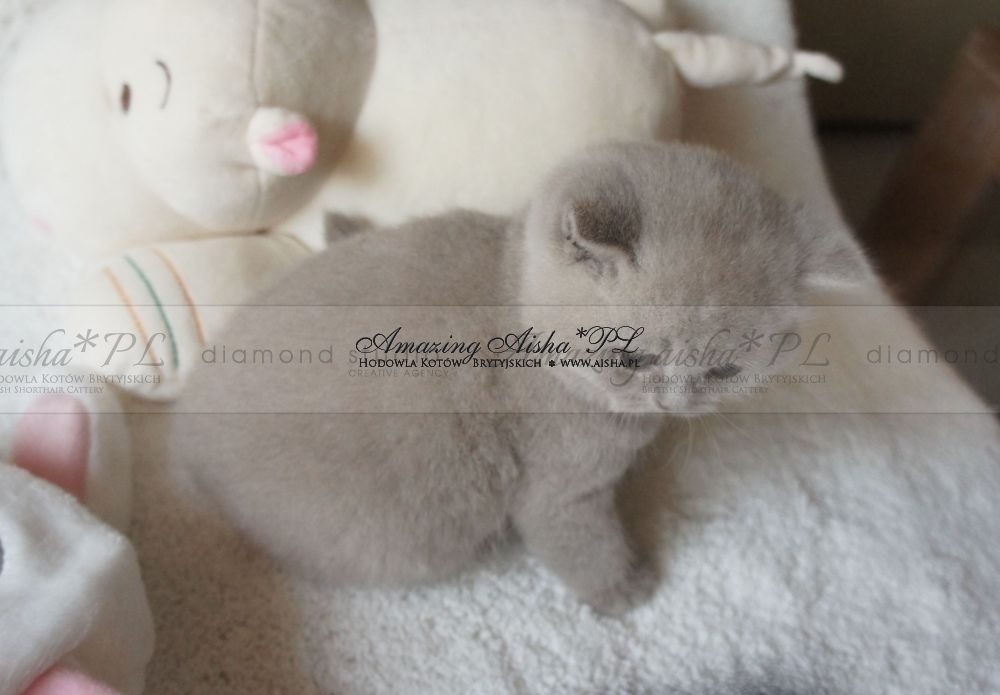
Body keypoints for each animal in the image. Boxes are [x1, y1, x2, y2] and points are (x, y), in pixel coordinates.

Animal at [168, 142, 871, 616]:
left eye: (723, 370)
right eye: (632, 360)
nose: (672, 401)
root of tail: (188, 442)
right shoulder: (559, 486)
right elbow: (582, 541)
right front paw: (626, 589)